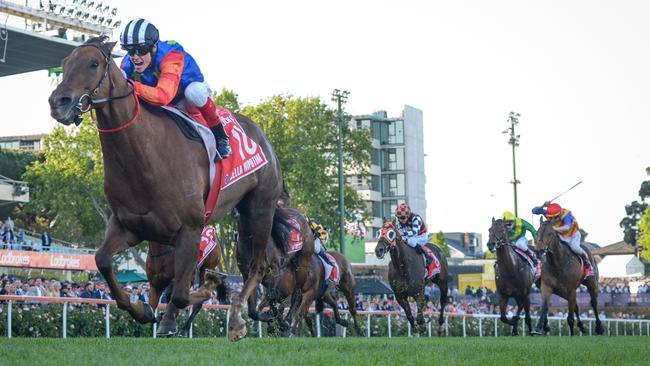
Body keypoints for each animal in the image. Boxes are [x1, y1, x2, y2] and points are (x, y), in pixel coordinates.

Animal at [49, 35, 282, 342]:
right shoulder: (129, 226)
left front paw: (177, 313)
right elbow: (103, 261)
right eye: (64, 63)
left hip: (261, 206)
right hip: (243, 216)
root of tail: (259, 131)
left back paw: (236, 318)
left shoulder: (190, 230)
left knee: (257, 265)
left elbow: (183, 295)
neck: (146, 156)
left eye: (93, 63)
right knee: (246, 264)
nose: (58, 102)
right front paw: (141, 309)